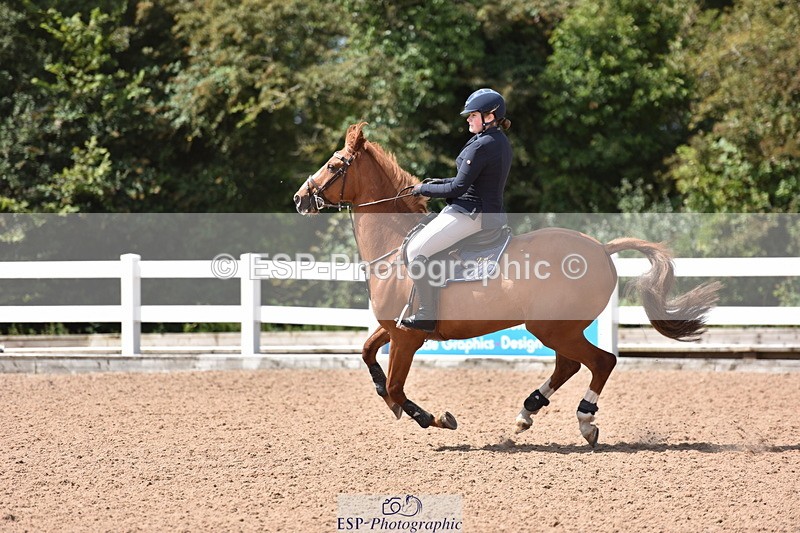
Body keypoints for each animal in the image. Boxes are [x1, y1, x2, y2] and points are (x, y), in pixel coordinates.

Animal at [293, 122, 719, 447]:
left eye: (333, 164)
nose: (299, 199)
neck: (395, 248)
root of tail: (600, 247)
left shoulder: (407, 337)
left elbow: (397, 387)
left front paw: (434, 418)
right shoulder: (393, 328)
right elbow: (369, 356)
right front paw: (393, 401)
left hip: (551, 327)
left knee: (600, 361)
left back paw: (584, 420)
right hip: (557, 328)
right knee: (570, 364)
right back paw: (527, 413)